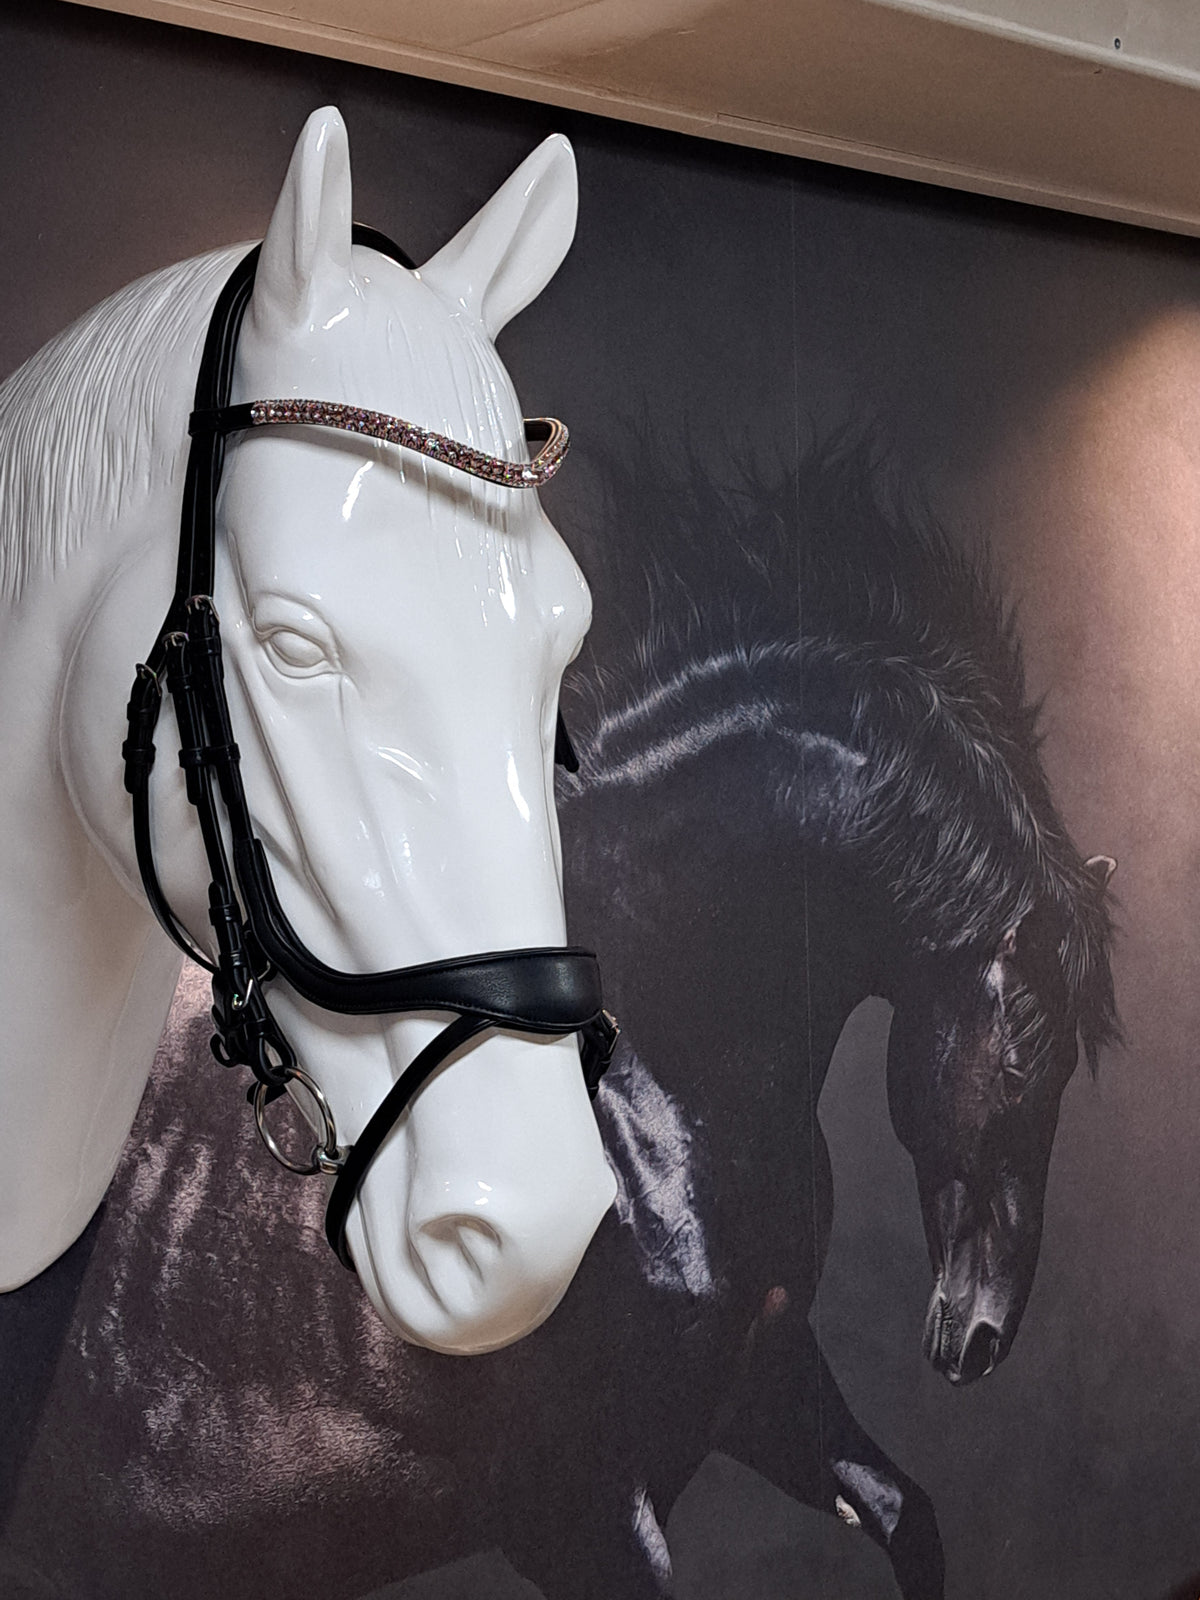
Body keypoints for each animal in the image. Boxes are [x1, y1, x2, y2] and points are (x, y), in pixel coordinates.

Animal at [0, 452, 1117, 1600]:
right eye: (1024, 1057)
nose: (980, 1335)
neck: (642, 1086)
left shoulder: (761, 1383)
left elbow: (908, 1516)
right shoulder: (577, 1509)